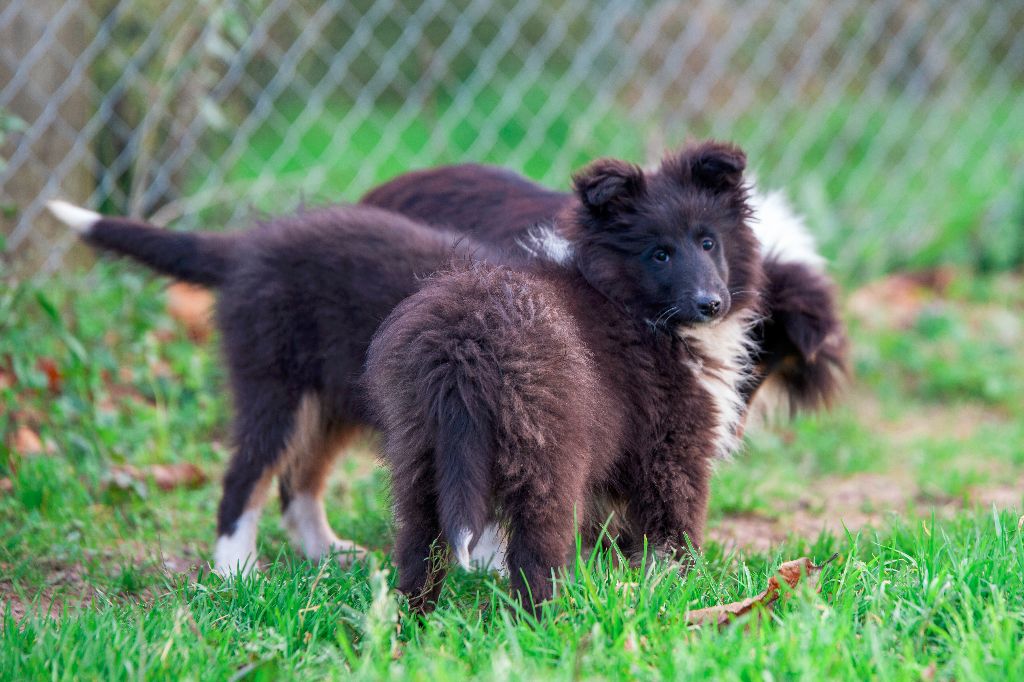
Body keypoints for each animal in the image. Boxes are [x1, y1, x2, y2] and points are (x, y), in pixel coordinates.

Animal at [366, 140, 761, 606]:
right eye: (659, 254)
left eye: (708, 242)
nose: (710, 303)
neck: (625, 299)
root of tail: (463, 346)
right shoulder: (673, 446)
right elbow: (674, 526)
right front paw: (685, 587)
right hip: (547, 460)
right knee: (535, 553)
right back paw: (543, 617)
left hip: (421, 452)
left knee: (419, 547)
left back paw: (412, 618)